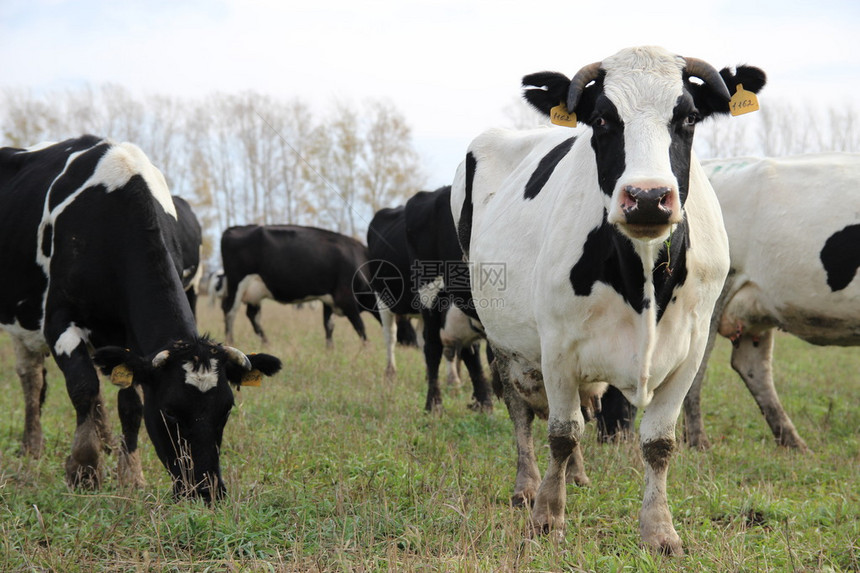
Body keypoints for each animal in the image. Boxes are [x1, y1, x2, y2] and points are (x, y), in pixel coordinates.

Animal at [0, 135, 282, 500]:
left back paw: (105, 441)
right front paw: (84, 469)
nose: (206, 490)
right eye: (170, 412)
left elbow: (129, 404)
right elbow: (83, 387)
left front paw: (130, 473)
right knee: (32, 377)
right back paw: (32, 445)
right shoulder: (58, 320)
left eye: (226, 409)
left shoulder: (131, 341)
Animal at [220, 226, 378, 346]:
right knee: (230, 311)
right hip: (237, 284)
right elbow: (360, 326)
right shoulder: (346, 298)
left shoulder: (329, 300)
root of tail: (234, 228)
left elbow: (328, 326)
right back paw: (230, 343)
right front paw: (367, 350)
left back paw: (266, 343)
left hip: (255, 292)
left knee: (253, 315)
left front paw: (330, 350)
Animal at [366, 192, 494, 412]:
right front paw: (434, 404)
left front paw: (483, 401)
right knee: (391, 337)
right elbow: (434, 348)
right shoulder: (429, 295)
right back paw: (390, 374)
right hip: (383, 300)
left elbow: (472, 354)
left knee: (422, 338)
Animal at [450, 47, 764, 552]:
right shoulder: (557, 344)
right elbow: (562, 431)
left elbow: (658, 442)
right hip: (500, 333)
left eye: (689, 117)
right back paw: (527, 485)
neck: (642, 282)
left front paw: (659, 530)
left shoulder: (692, 348)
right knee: (520, 408)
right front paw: (547, 517)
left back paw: (577, 477)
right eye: (601, 120)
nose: (649, 197)